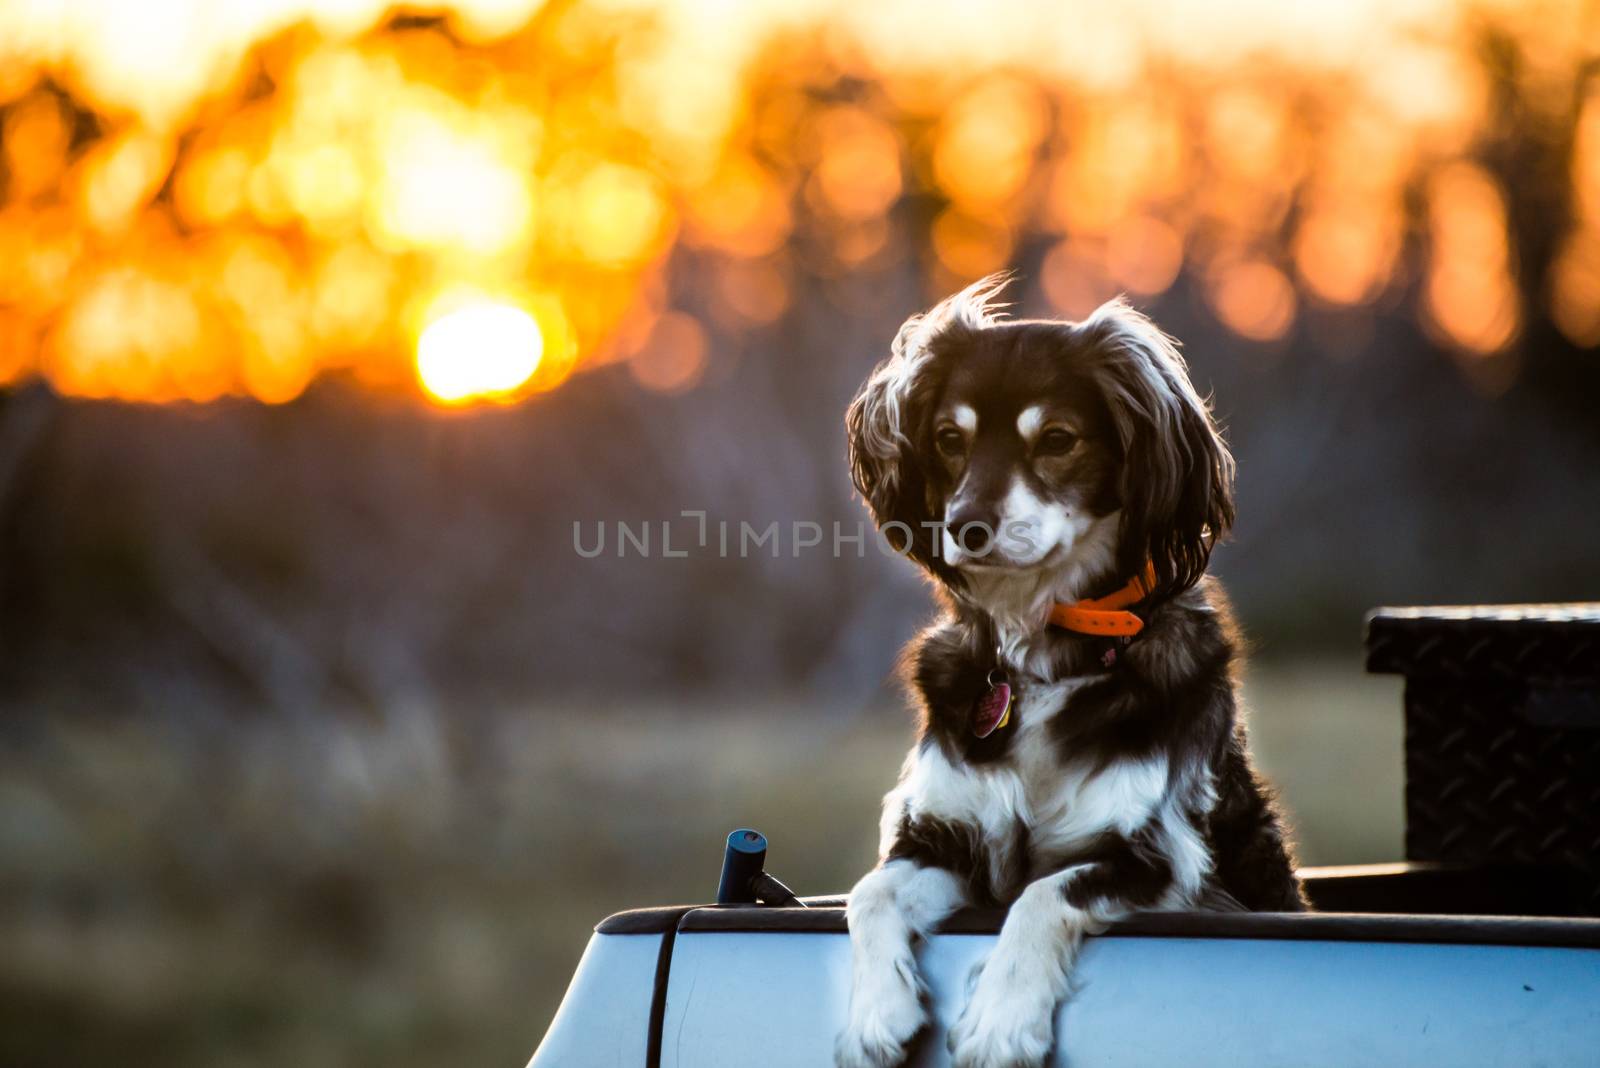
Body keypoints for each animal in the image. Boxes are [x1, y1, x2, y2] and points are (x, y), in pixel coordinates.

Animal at [832, 274, 1305, 1068]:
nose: (966, 526)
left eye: (1056, 439)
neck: (1045, 654)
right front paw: (875, 1011)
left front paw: (999, 1021)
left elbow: (1044, 895)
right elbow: (869, 892)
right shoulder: (943, 835)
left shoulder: (1162, 860)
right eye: (949, 440)